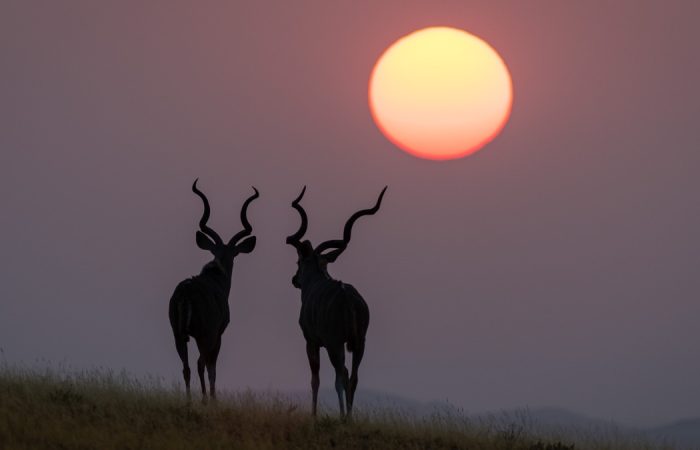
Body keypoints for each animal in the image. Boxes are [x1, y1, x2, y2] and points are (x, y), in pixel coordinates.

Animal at [170, 181, 260, 402]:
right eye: (234, 254)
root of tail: (184, 294)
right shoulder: (218, 334)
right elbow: (213, 369)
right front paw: (213, 400)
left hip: (178, 334)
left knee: (186, 367)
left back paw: (189, 402)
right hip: (205, 334)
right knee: (200, 364)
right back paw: (203, 400)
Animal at [286, 186, 388, 418]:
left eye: (298, 261)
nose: (294, 279)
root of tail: (348, 298)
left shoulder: (312, 341)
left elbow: (316, 379)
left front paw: (314, 416)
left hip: (335, 343)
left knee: (341, 374)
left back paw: (343, 416)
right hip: (359, 343)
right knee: (353, 376)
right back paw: (348, 417)